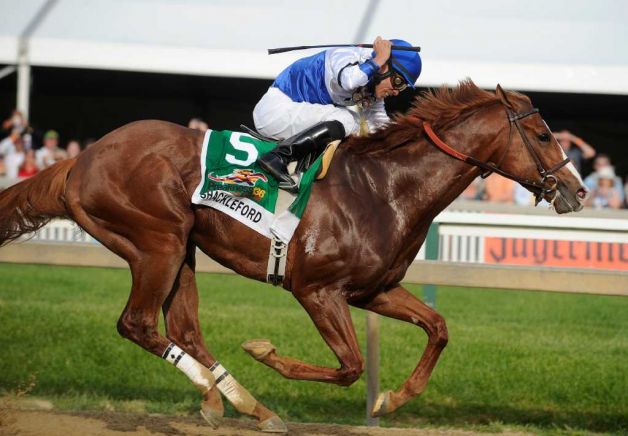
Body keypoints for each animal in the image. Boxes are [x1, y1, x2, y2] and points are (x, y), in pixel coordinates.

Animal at [0, 82, 588, 432]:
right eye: (541, 134)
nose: (578, 192)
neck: (385, 188)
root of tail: (82, 158)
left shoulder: (373, 290)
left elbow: (437, 328)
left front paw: (393, 400)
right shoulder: (316, 289)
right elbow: (350, 366)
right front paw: (265, 351)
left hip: (179, 247)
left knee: (182, 327)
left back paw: (239, 403)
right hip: (155, 241)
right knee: (138, 323)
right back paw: (227, 395)